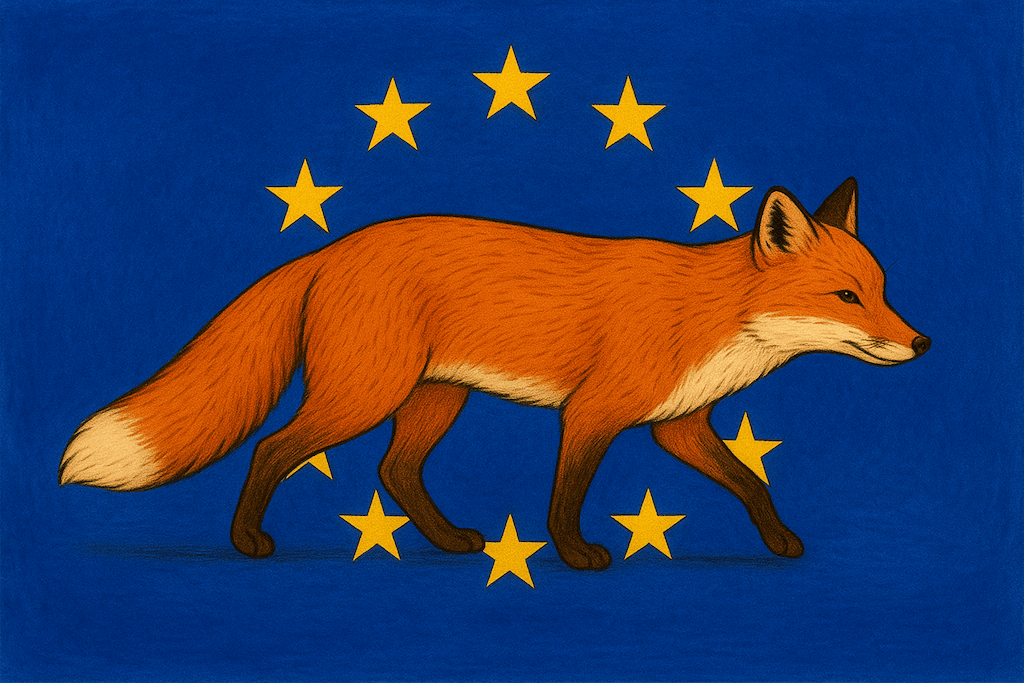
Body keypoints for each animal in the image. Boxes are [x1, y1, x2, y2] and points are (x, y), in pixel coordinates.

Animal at [60, 178, 929, 570]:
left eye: (884, 291)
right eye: (847, 297)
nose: (921, 343)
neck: (710, 314)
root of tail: (330, 249)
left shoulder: (677, 424)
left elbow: (751, 482)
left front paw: (781, 540)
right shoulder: (593, 412)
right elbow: (567, 492)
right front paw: (573, 552)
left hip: (433, 400)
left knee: (396, 470)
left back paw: (449, 540)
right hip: (364, 395)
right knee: (274, 448)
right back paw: (247, 540)